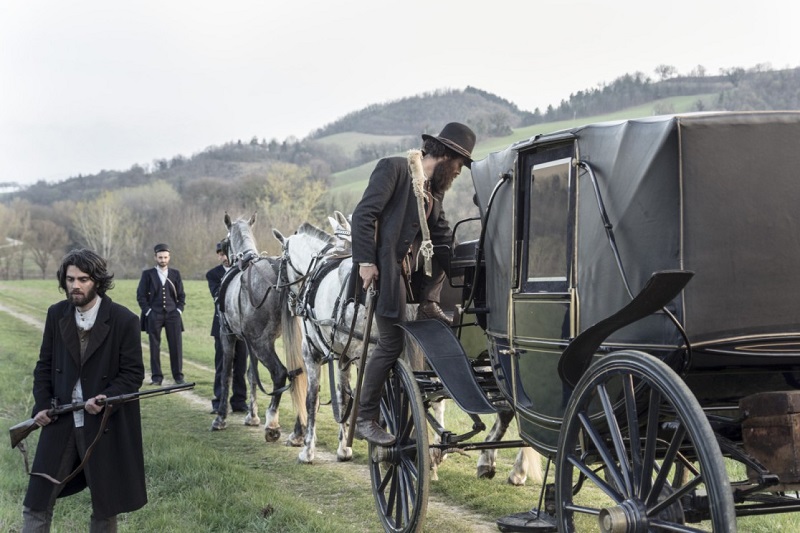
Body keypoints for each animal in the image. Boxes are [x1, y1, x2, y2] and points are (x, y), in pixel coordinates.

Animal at [211, 212, 308, 444]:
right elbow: (252, 375)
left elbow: (226, 374)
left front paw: (221, 418)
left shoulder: (228, 335)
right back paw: (298, 432)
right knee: (302, 376)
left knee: (280, 373)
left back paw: (272, 423)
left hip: (261, 342)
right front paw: (252, 416)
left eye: (226, 237)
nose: (219, 248)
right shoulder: (248, 342)